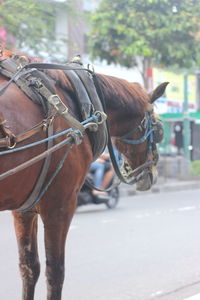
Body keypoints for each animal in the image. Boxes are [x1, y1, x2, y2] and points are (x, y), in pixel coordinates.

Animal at [0, 50, 168, 298]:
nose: (152, 172)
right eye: (157, 129)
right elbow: (55, 272)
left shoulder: (24, 209)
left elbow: (29, 268)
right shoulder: (61, 204)